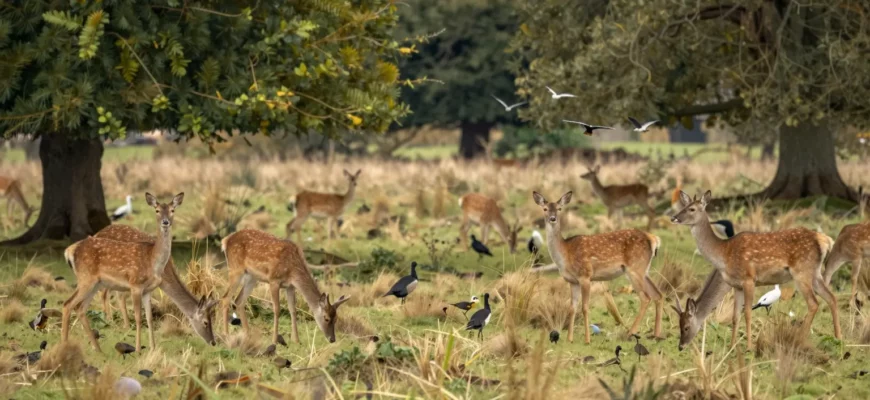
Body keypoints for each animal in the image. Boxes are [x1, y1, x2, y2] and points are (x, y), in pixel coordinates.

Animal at [61, 192, 184, 353]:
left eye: (172, 210)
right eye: (157, 210)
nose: (165, 222)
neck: (152, 261)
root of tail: (69, 251)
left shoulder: (148, 290)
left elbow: (149, 318)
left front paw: (153, 347)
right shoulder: (135, 284)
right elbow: (138, 317)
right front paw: (138, 348)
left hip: (94, 284)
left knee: (80, 308)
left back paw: (98, 349)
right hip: (85, 279)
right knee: (67, 304)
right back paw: (64, 345)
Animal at [219, 229, 350, 345]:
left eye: (336, 318)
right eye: (326, 318)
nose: (332, 339)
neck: (292, 270)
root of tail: (225, 240)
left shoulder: (290, 286)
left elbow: (293, 310)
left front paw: (296, 340)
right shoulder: (273, 280)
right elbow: (277, 309)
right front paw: (274, 340)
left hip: (252, 277)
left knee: (239, 300)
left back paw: (248, 334)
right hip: (235, 269)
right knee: (225, 298)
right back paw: (226, 334)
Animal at [532, 191, 664, 343]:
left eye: (559, 208)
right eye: (545, 209)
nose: (552, 218)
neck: (565, 253)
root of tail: (653, 239)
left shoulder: (585, 275)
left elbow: (584, 307)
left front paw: (587, 339)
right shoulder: (572, 281)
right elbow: (572, 307)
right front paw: (570, 339)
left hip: (634, 269)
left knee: (646, 297)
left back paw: (630, 333)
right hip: (644, 270)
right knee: (658, 294)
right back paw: (656, 335)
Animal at [671, 190, 841, 349]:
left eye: (691, 209)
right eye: (683, 206)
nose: (680, 346)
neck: (724, 254)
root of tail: (825, 240)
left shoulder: (749, 279)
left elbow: (747, 312)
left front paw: (749, 347)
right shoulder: (737, 285)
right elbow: (735, 316)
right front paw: (732, 346)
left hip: (801, 272)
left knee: (814, 303)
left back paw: (800, 338)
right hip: (815, 273)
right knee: (831, 297)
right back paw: (838, 338)